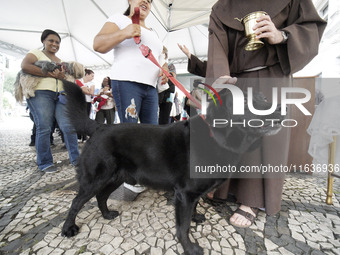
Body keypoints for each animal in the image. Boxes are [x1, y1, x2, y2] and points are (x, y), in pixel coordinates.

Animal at [61, 81, 284, 255]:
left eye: (264, 97)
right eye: (243, 102)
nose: (282, 111)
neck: (218, 138)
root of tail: (99, 127)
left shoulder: (192, 194)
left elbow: (193, 210)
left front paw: (196, 217)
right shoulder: (184, 194)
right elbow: (182, 227)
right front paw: (190, 248)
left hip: (115, 177)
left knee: (101, 196)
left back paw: (107, 215)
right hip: (95, 179)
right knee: (76, 202)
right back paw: (68, 229)